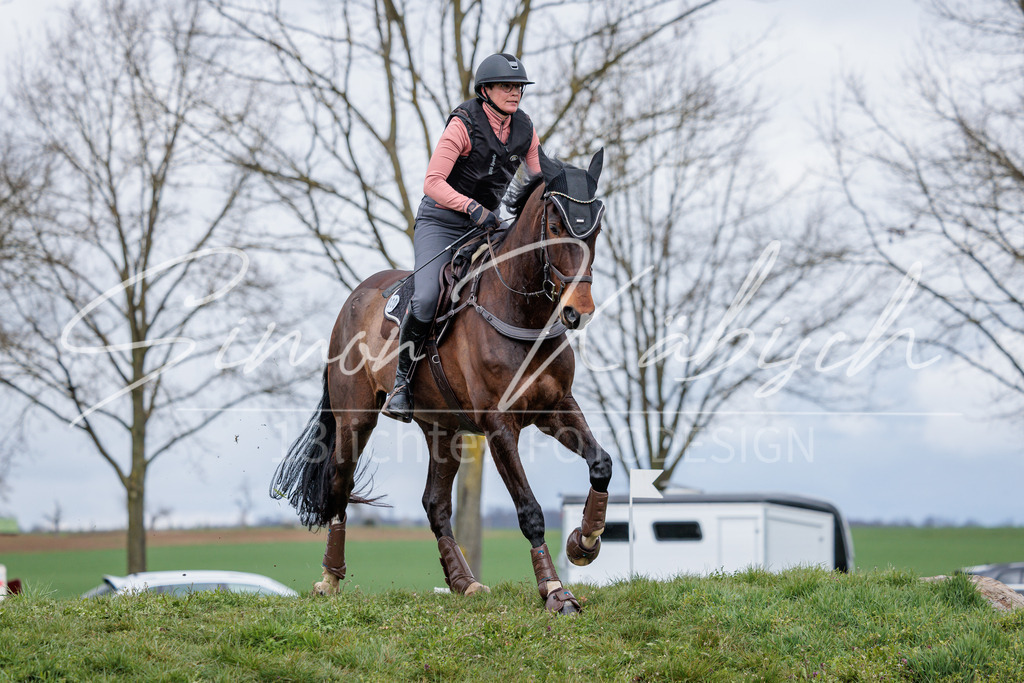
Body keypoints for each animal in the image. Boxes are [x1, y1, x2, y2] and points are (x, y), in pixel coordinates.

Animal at [271, 149, 613, 614]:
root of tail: (354, 297)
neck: (520, 314)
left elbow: (601, 464)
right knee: (339, 487)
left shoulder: (556, 407)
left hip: (443, 430)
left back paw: (464, 581)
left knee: (434, 504)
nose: (579, 312)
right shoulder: (499, 425)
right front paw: (555, 590)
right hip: (354, 419)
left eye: (595, 229)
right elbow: (529, 510)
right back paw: (330, 578)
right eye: (557, 226)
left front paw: (584, 542)